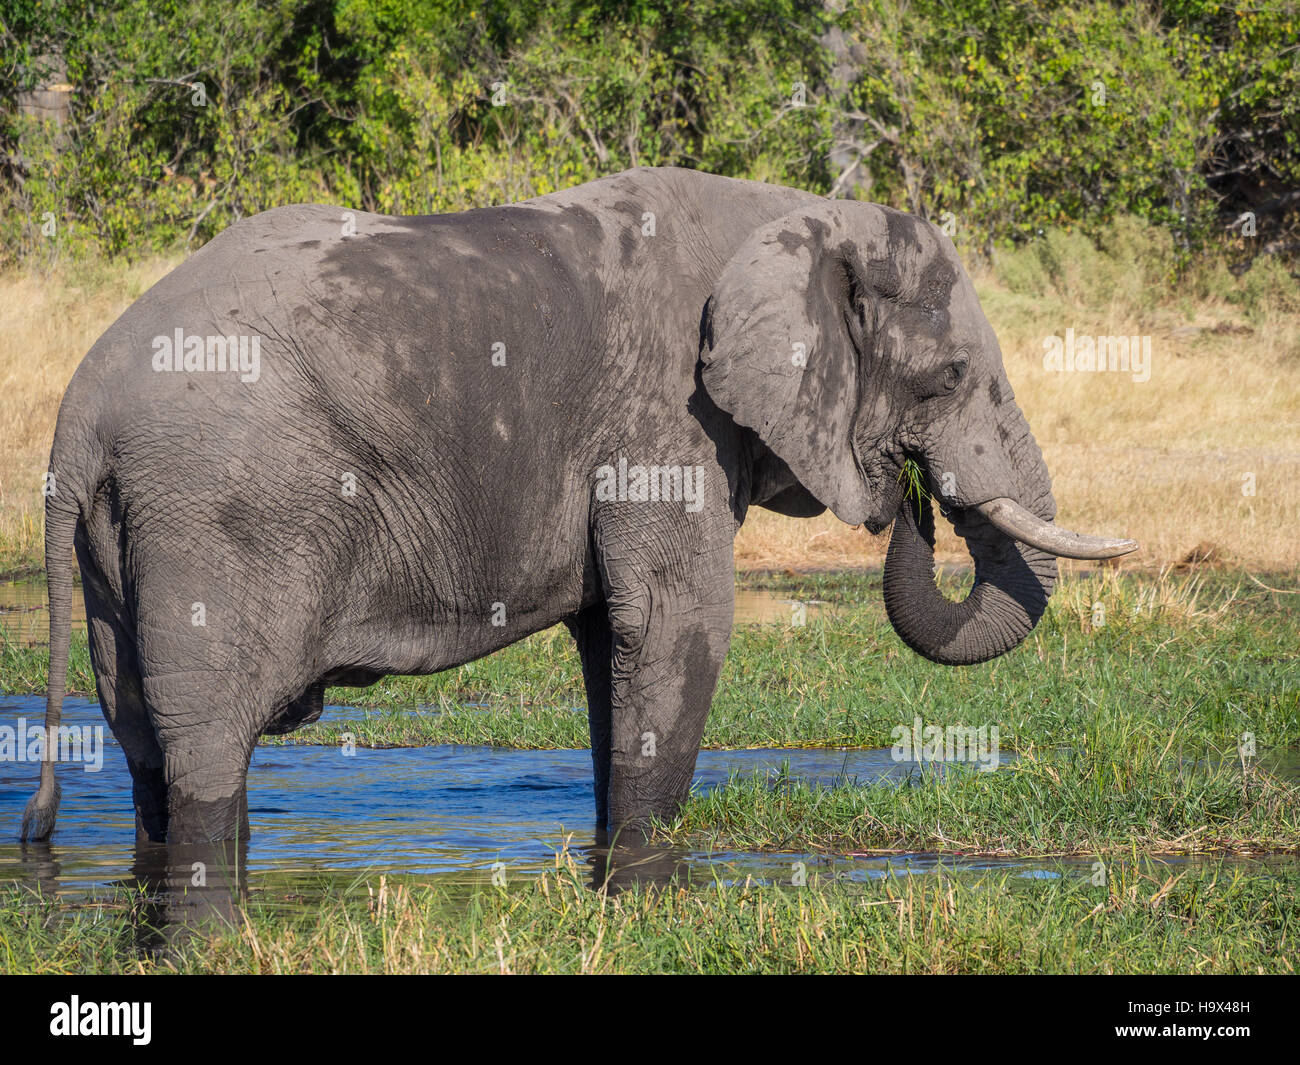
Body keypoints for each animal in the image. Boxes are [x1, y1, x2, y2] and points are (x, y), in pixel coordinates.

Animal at [20, 166, 1138, 847]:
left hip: (132, 529)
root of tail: (79, 417)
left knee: (140, 733)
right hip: (217, 508)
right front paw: (646, 859)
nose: (908, 492)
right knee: (206, 739)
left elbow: (616, 640)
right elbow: (679, 621)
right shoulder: (666, 417)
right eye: (948, 377)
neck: (789, 214)